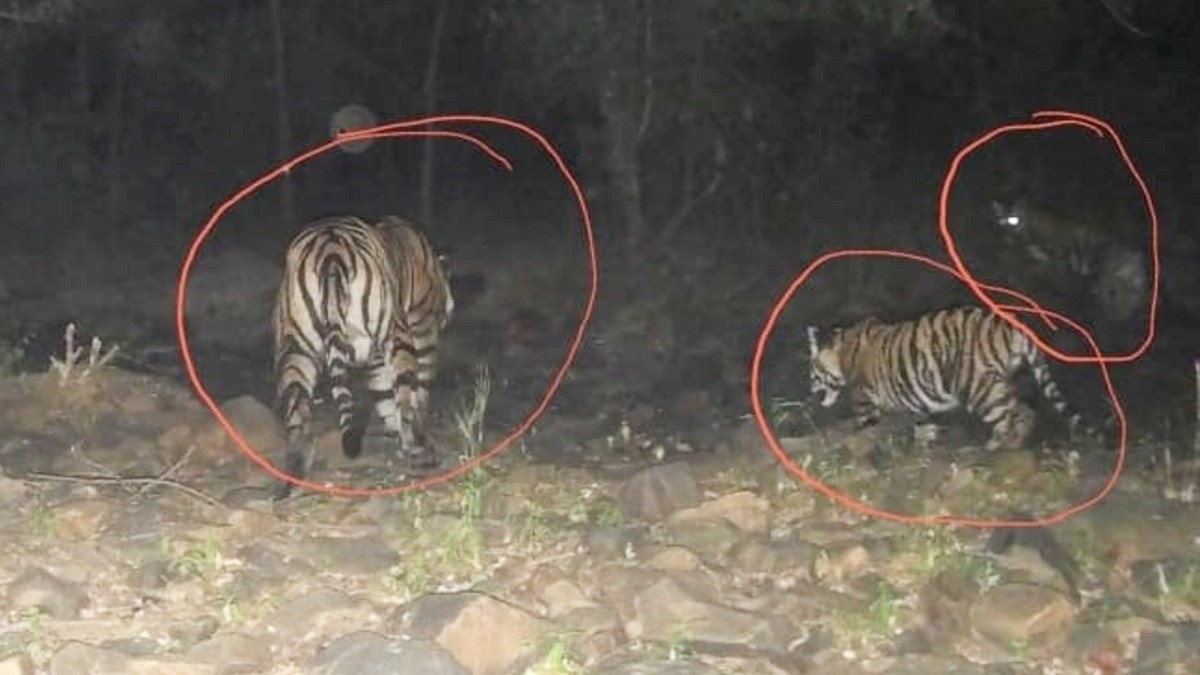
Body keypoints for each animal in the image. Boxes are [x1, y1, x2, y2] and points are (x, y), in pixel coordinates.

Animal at [272, 214, 454, 497]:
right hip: (396, 332)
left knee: (295, 404)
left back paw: (294, 475)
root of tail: (330, 249)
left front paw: (394, 436)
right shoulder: (423, 330)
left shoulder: (376, 360)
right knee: (405, 393)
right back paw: (417, 450)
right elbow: (417, 394)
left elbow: (383, 395)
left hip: (296, 346)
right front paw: (414, 441)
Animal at [806, 305, 1080, 451]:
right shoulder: (919, 401)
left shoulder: (864, 399)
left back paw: (996, 447)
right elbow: (923, 428)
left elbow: (864, 427)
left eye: (813, 373)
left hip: (977, 387)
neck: (842, 352)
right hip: (999, 382)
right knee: (1024, 410)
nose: (811, 393)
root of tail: (1010, 324)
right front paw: (920, 451)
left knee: (1010, 415)